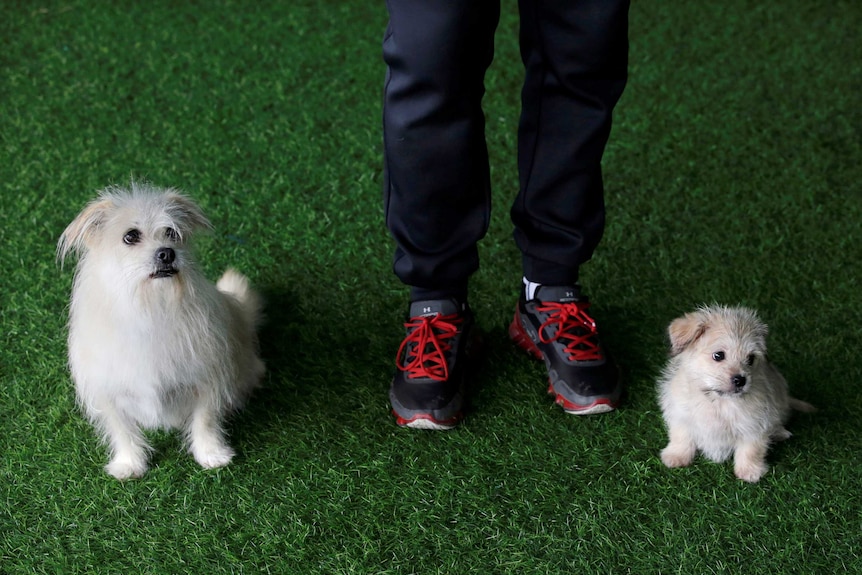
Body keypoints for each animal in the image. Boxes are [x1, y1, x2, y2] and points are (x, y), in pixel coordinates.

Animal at [58, 182, 264, 480]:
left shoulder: (207, 378)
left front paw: (211, 454)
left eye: (171, 233)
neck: (151, 305)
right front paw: (129, 462)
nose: (167, 252)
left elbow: (206, 420)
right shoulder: (107, 390)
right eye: (130, 236)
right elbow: (122, 430)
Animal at [660, 304, 816, 484]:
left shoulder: (754, 425)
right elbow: (681, 437)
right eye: (718, 355)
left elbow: (751, 450)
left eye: (750, 358)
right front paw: (676, 456)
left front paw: (749, 471)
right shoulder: (681, 416)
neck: (718, 401)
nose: (741, 380)